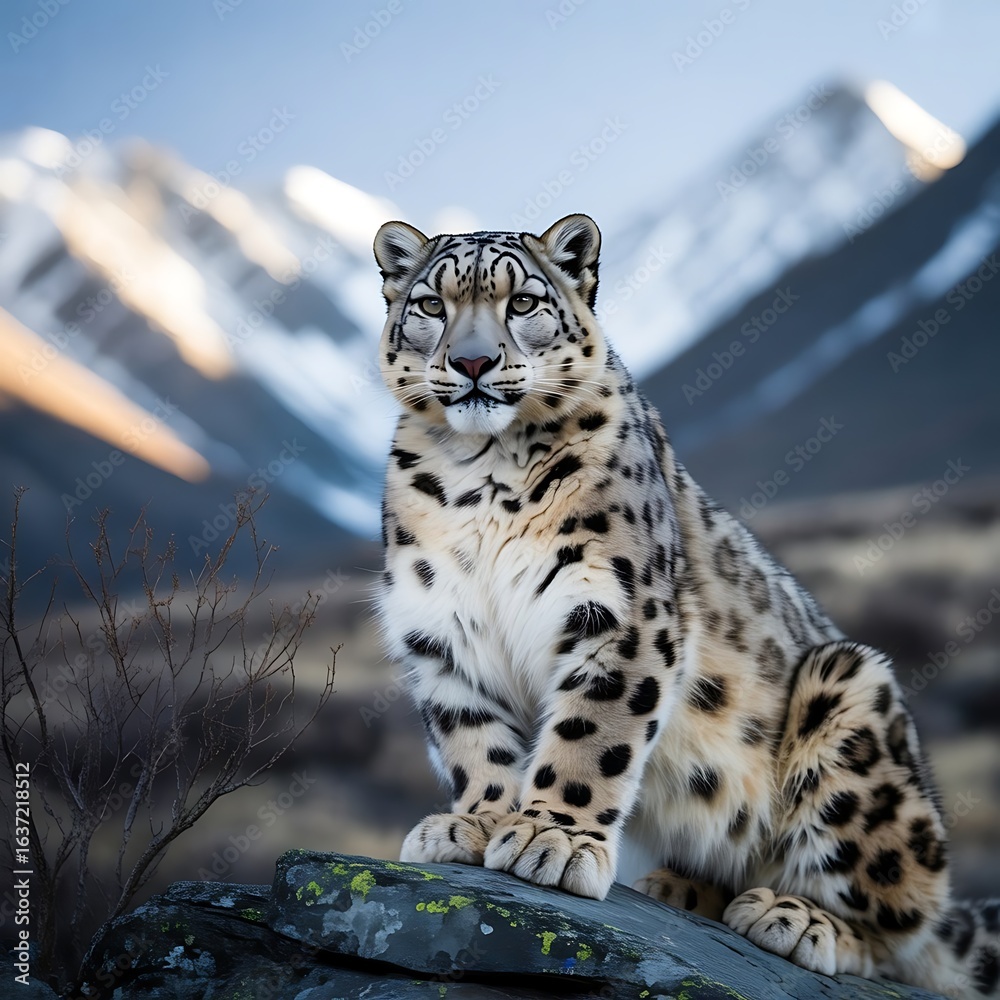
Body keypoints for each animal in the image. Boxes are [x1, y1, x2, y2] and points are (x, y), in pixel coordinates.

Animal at [372, 212, 999, 997]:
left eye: (523, 303)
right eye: (432, 305)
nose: (474, 362)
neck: (479, 475)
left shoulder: (619, 612)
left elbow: (591, 734)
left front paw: (553, 838)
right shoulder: (441, 629)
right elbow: (474, 741)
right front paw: (476, 823)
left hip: (852, 700)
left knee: (899, 932)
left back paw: (796, 918)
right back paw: (683, 886)